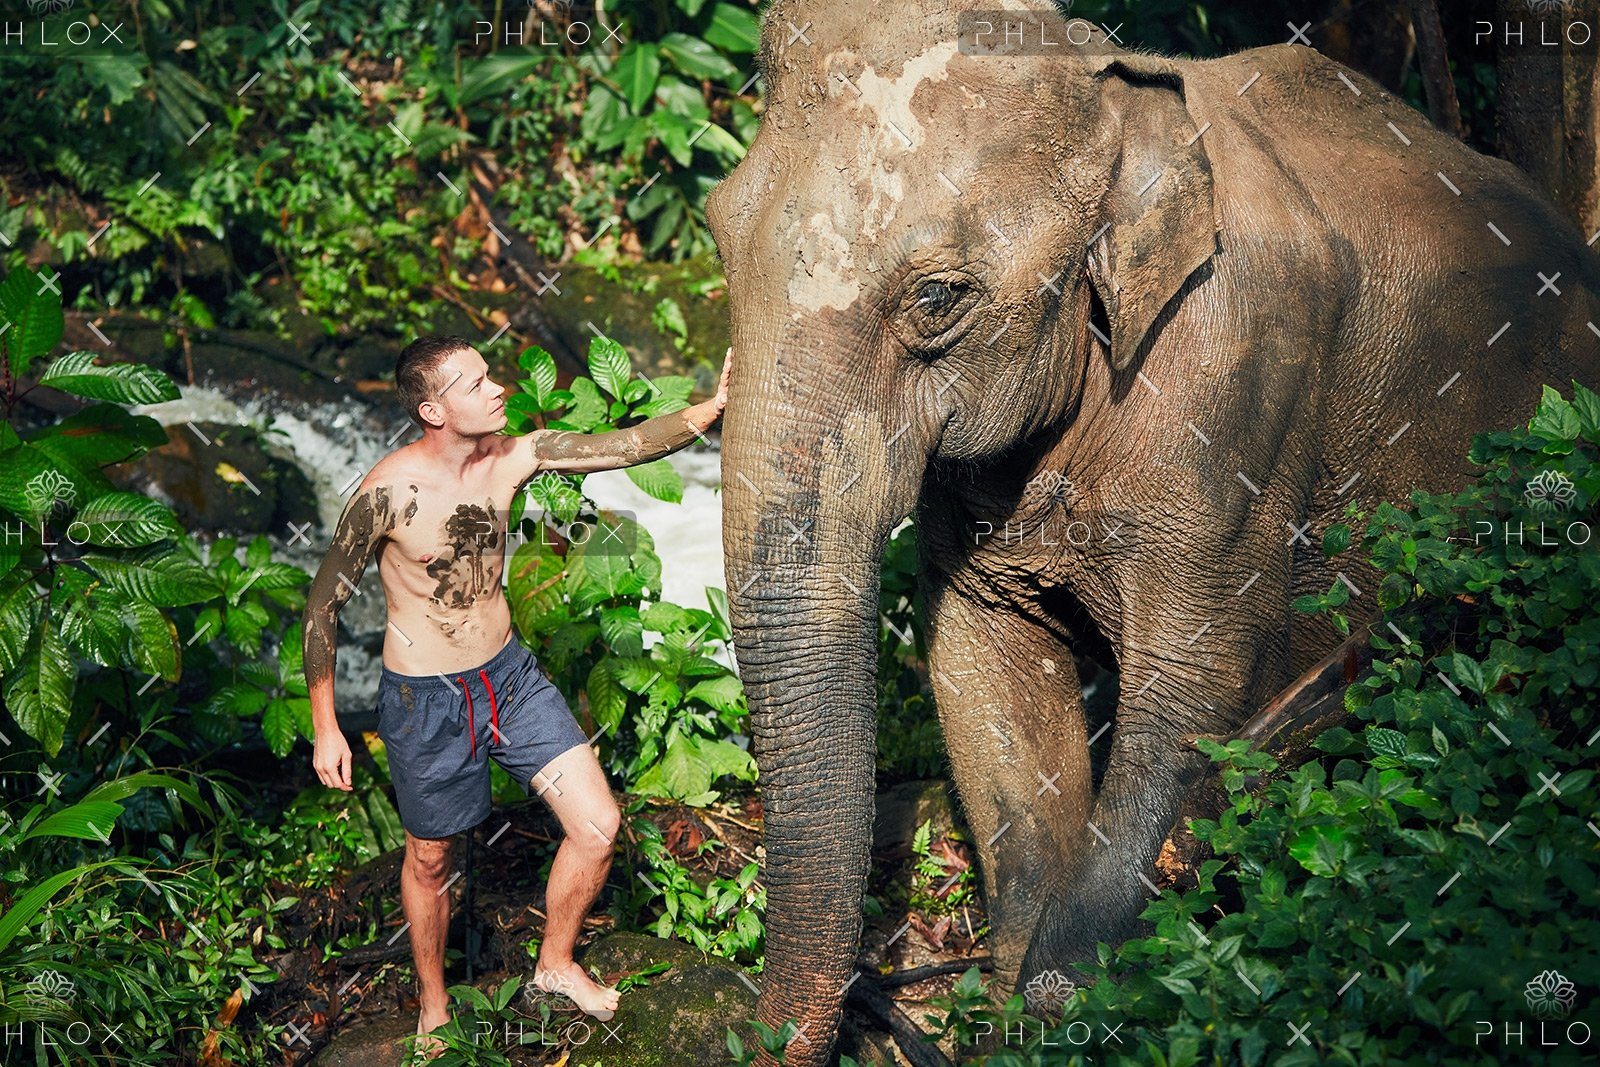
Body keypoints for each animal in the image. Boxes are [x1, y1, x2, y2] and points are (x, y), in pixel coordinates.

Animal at [705, 0, 1600, 1060]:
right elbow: (979, 656)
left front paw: (1064, 1011)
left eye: (936, 298)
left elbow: (1189, 686)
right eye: (719, 237)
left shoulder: (1242, 376)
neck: (1116, 90)